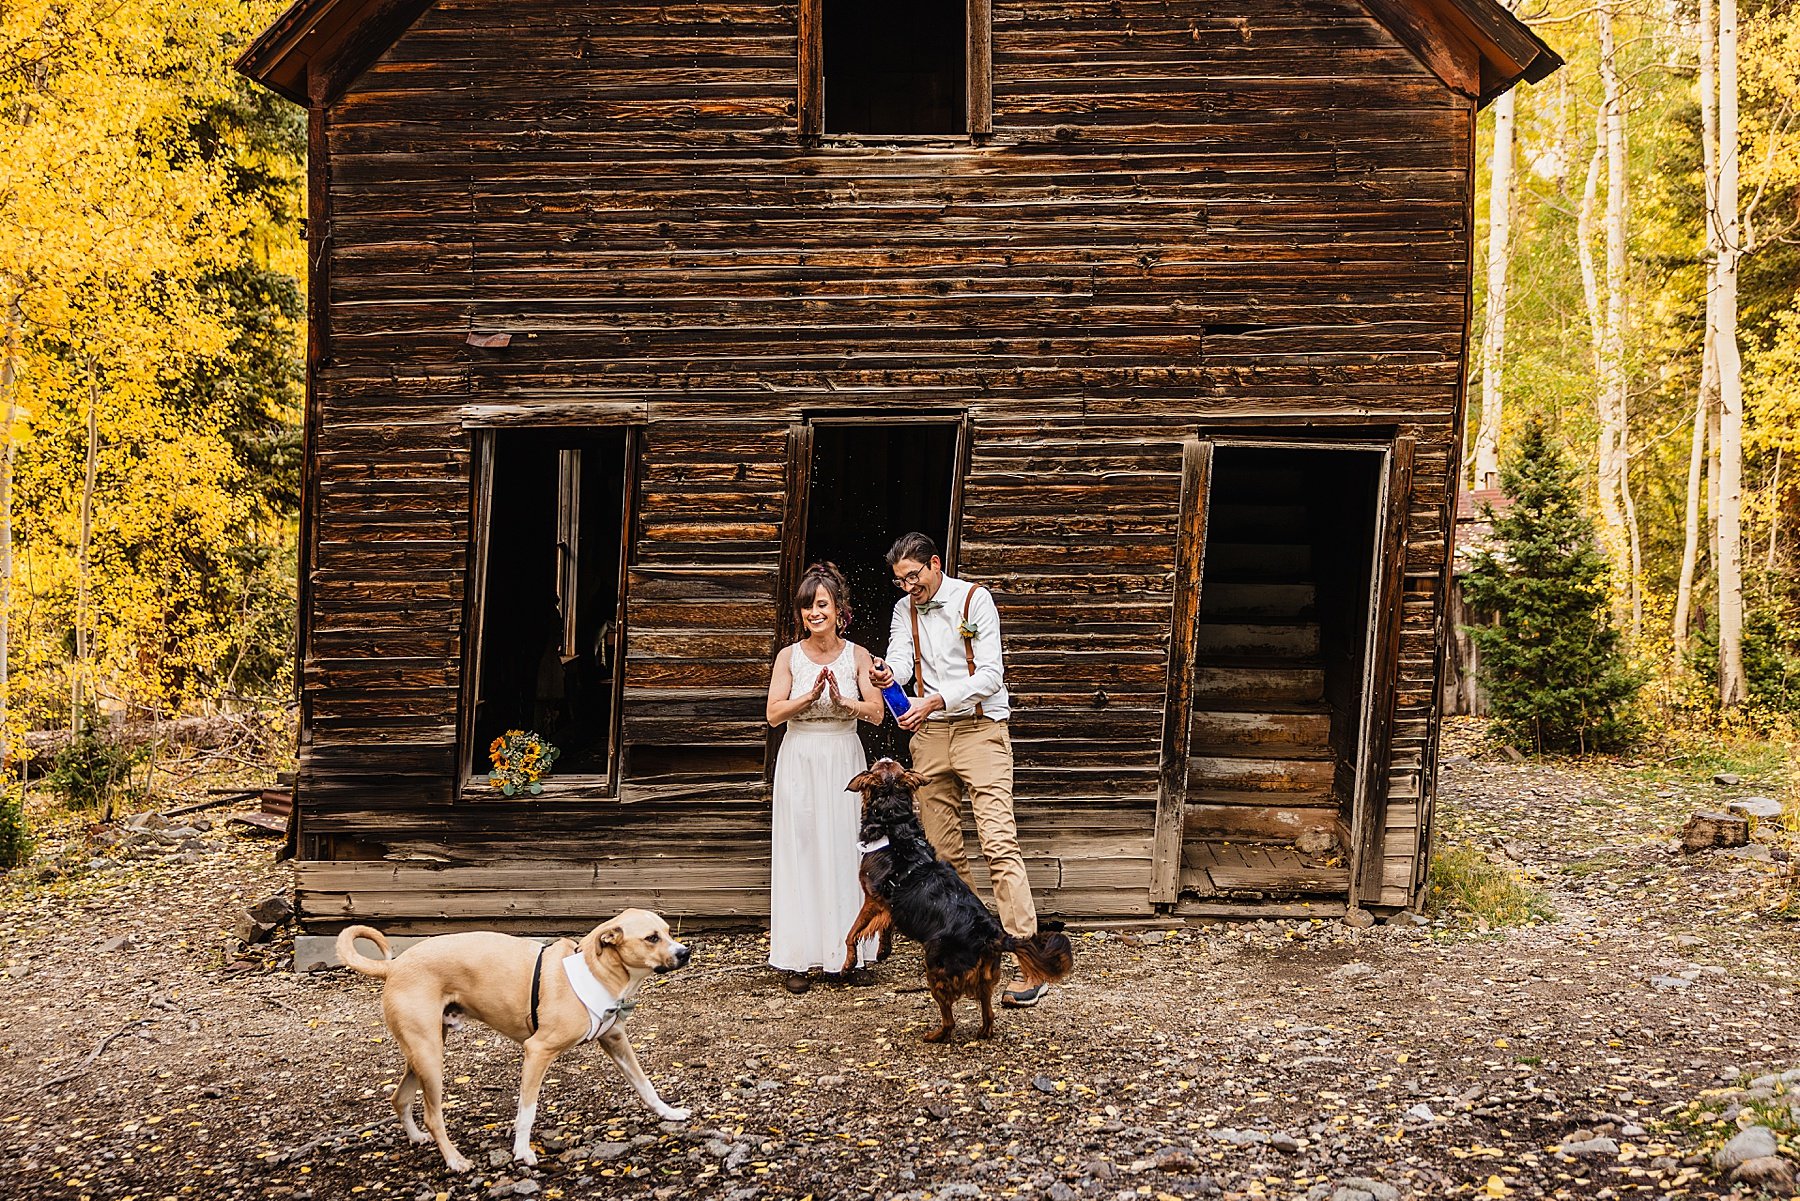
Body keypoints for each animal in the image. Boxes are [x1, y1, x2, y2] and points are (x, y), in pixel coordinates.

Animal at [334, 911, 691, 1173]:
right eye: (651, 938)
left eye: (668, 931)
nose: (685, 952)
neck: (598, 970)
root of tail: (393, 965)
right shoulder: (537, 1052)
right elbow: (527, 1110)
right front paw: (521, 1152)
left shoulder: (616, 1041)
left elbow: (645, 1084)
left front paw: (669, 1112)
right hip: (430, 1057)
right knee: (433, 1116)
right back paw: (455, 1160)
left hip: (422, 1053)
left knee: (399, 1098)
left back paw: (416, 1137)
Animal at [838, 759, 1072, 1044]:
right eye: (894, 767)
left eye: (882, 768)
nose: (884, 758)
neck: (894, 823)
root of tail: (992, 936)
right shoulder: (888, 904)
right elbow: (885, 928)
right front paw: (883, 950)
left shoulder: (873, 898)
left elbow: (852, 933)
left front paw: (848, 963)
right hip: (982, 978)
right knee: (988, 1012)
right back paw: (983, 1032)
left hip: (936, 970)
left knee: (950, 1019)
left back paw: (935, 1035)